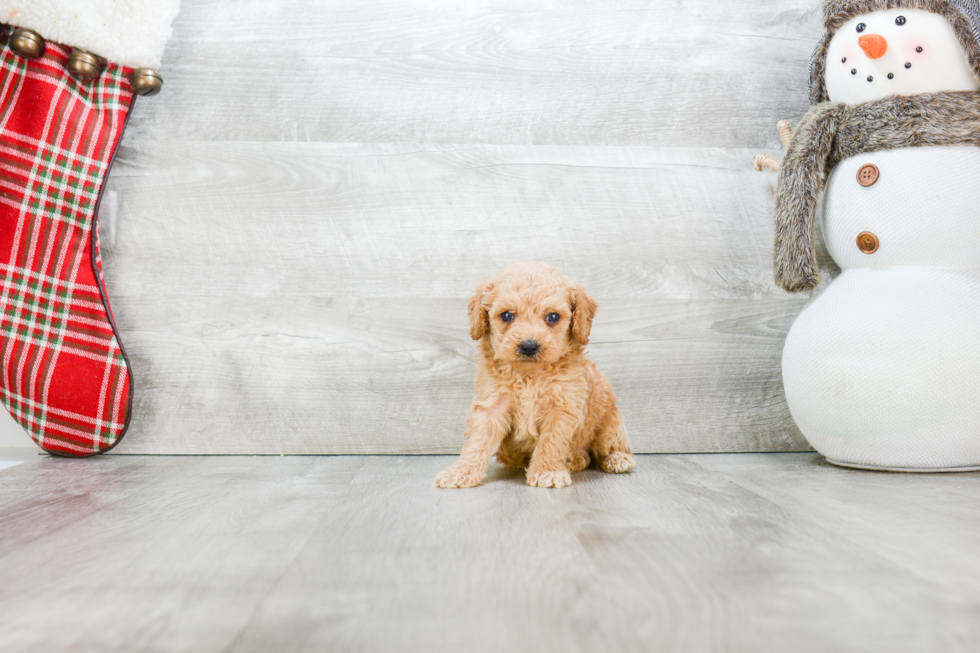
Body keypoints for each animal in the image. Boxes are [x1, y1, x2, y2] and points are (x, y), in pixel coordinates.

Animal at [430, 262, 632, 488]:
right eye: (507, 315)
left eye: (553, 317)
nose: (528, 346)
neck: (529, 376)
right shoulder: (492, 403)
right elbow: (477, 441)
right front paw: (461, 471)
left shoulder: (562, 406)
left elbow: (552, 440)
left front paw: (547, 471)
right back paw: (575, 459)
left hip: (610, 423)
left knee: (612, 447)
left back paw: (615, 459)